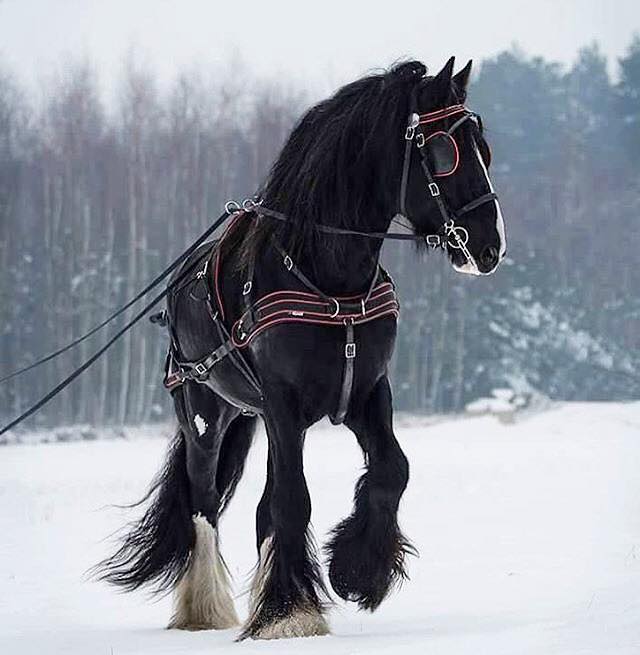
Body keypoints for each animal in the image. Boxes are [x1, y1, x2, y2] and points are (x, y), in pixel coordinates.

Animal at [96, 56, 507, 640]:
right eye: (444, 152)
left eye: (483, 147)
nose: (489, 246)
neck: (328, 276)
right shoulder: (284, 406)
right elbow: (293, 502)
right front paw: (290, 611)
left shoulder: (364, 393)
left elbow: (392, 470)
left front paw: (358, 573)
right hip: (205, 415)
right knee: (204, 504)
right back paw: (206, 607)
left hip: (255, 418)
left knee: (259, 505)